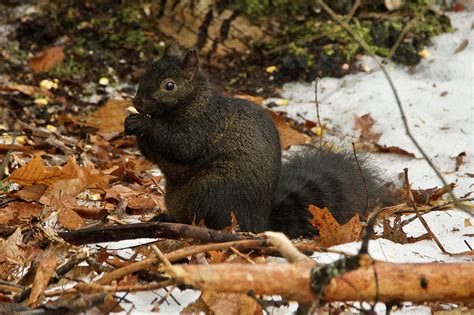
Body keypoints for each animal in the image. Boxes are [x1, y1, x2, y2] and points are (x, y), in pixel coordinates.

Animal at [124, 44, 390, 237]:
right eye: (147, 72)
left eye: (169, 85)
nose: (137, 103)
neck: (193, 102)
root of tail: (260, 222)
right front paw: (130, 122)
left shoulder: (203, 127)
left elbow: (180, 146)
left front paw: (143, 123)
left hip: (213, 191)